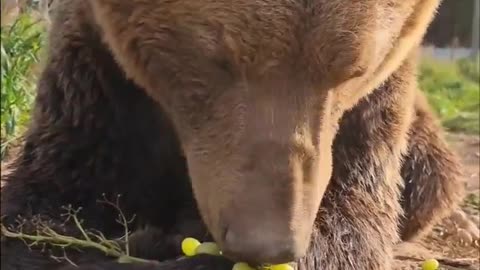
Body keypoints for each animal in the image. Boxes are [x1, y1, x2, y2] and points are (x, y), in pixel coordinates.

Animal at [0, 0, 464, 270]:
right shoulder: (99, 77)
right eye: (217, 59)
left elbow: (350, 223)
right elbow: (49, 207)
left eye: (354, 70)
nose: (269, 245)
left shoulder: (369, 113)